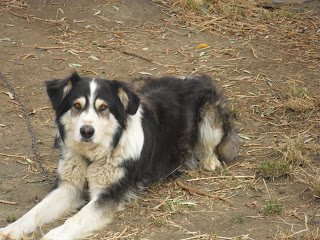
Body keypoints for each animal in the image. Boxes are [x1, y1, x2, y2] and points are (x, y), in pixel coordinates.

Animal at [0, 73, 238, 240]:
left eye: (103, 107)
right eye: (77, 105)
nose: (87, 131)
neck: (93, 155)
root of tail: (198, 78)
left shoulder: (108, 194)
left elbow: (74, 221)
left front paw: (53, 235)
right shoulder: (69, 186)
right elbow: (35, 212)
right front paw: (11, 229)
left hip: (209, 120)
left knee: (211, 145)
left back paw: (209, 161)